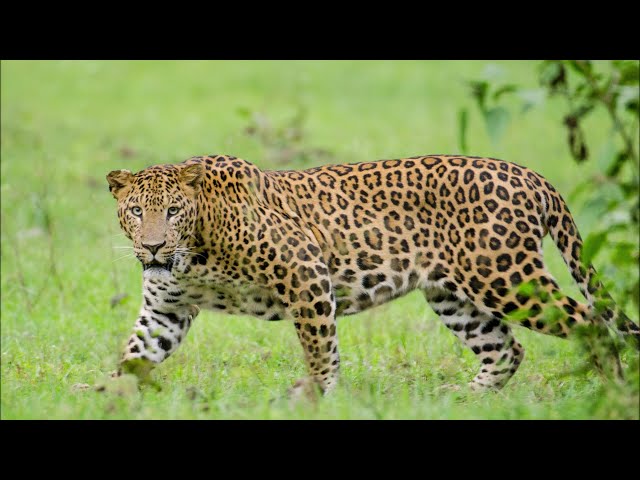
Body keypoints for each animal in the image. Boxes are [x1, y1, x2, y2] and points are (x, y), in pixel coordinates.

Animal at [107, 154, 639, 396]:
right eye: (135, 211)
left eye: (173, 211)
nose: (153, 246)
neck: (194, 252)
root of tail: (531, 175)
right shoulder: (166, 309)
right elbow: (135, 353)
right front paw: (106, 395)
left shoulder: (305, 271)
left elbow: (319, 346)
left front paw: (316, 395)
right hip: (453, 295)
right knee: (506, 348)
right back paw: (465, 400)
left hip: (504, 277)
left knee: (592, 324)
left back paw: (615, 392)